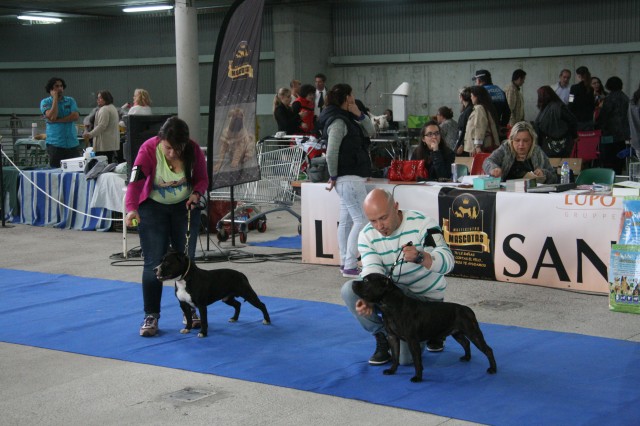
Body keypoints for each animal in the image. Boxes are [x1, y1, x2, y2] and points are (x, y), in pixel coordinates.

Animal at [352, 273, 497, 382]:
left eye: (366, 280)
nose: (353, 282)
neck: (390, 305)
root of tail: (467, 309)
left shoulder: (412, 341)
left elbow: (417, 360)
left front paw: (418, 377)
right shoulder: (392, 337)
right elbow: (395, 356)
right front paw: (392, 370)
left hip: (473, 332)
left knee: (487, 349)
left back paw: (493, 369)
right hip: (457, 333)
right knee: (466, 343)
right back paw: (466, 358)